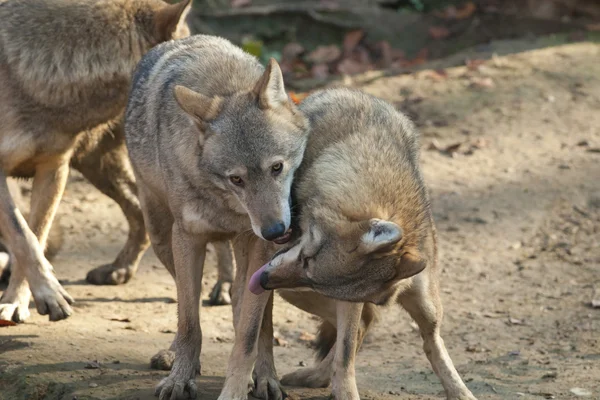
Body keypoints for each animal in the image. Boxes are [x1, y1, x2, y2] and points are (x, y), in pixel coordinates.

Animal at [0, 0, 192, 322]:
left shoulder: (54, 168)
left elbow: (35, 235)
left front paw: (21, 300)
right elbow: (23, 237)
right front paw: (39, 296)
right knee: (139, 211)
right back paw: (120, 269)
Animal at [123, 35, 310, 400]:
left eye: (277, 167)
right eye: (236, 179)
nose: (275, 230)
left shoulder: (259, 247)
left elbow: (251, 332)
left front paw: (249, 382)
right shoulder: (188, 239)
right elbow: (188, 321)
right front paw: (180, 378)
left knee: (247, 308)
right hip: (160, 236)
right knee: (189, 301)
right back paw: (175, 355)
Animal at [248, 88, 478, 400]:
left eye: (309, 266)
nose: (264, 281)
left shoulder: (344, 300)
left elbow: (345, 354)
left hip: (426, 305)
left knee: (428, 341)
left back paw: (461, 392)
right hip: (294, 295)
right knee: (364, 327)